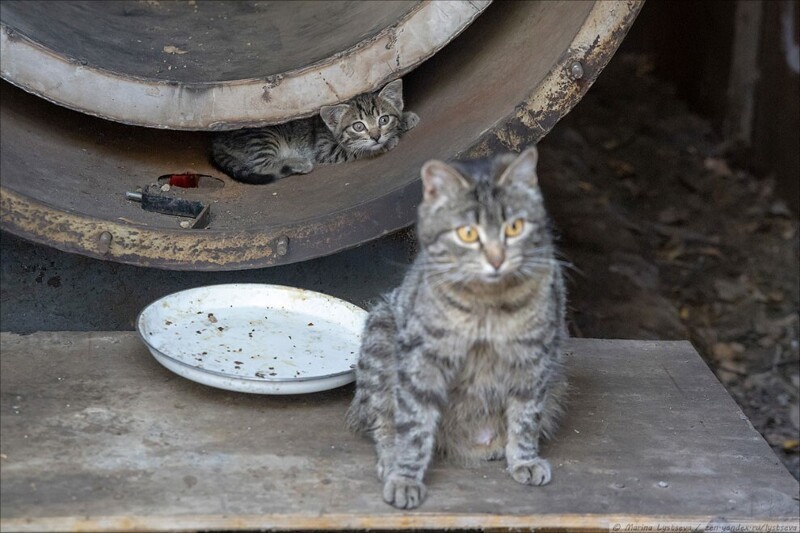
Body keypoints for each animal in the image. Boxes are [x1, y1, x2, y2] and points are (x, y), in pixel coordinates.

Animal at [209, 79, 422, 185]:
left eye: (383, 120)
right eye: (358, 126)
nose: (376, 136)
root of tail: (215, 142)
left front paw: (404, 120)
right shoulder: (324, 148)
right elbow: (355, 150)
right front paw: (385, 144)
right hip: (264, 137)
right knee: (261, 165)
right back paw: (298, 163)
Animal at [346, 145, 564, 508]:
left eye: (515, 227)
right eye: (468, 233)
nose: (496, 259)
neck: (488, 306)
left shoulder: (534, 357)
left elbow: (526, 417)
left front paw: (525, 459)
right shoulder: (422, 360)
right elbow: (414, 425)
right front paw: (405, 477)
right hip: (380, 339)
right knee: (383, 419)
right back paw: (391, 459)